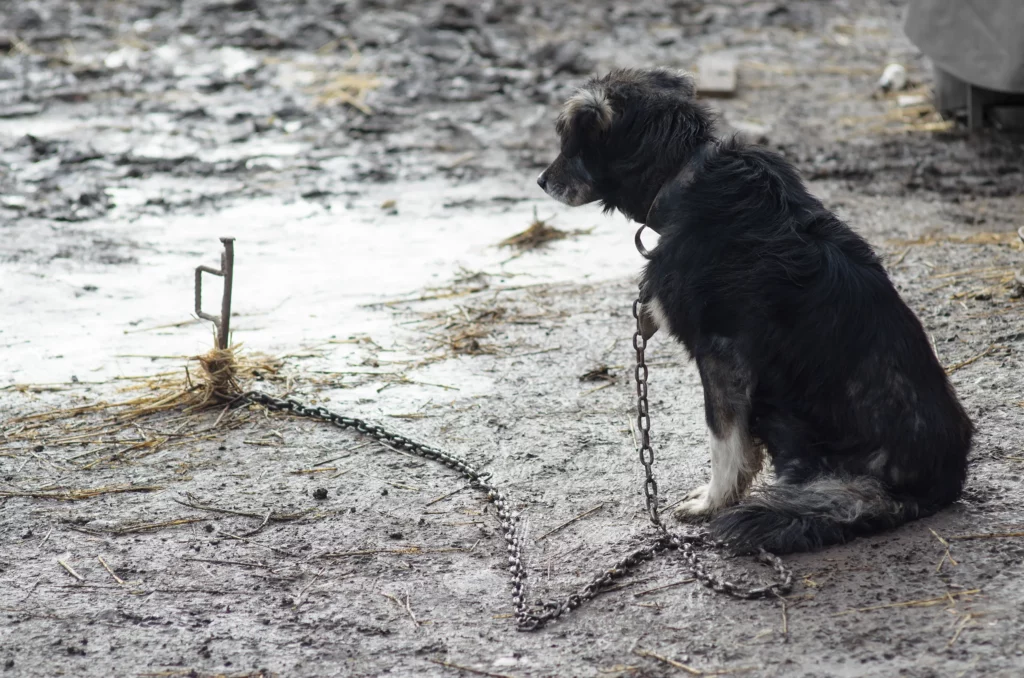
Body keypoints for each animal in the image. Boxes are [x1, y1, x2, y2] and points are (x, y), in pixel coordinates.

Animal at [540, 67, 970, 557]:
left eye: (570, 142)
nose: (541, 181)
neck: (682, 177)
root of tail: (937, 487)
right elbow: (739, 444)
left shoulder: (722, 355)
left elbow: (724, 439)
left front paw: (713, 501)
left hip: (795, 424)